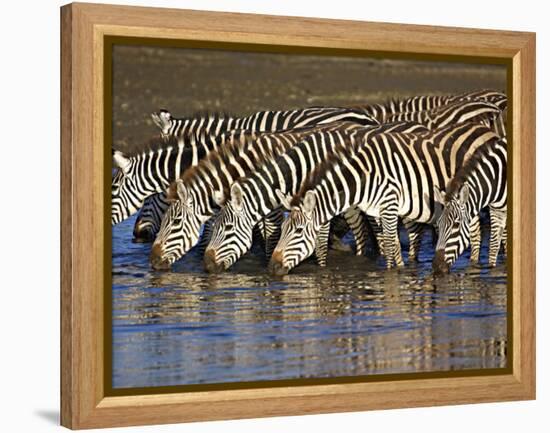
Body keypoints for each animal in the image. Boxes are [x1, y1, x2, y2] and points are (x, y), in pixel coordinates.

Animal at [204, 120, 432, 272]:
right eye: (214, 228)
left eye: (228, 229)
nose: (206, 265)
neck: (299, 170)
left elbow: (319, 243)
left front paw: (320, 273)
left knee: (414, 232)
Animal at [268, 120, 504, 274]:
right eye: (283, 228)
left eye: (298, 231)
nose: (272, 267)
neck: (362, 179)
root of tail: (485, 129)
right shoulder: (377, 210)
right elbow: (391, 243)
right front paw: (396, 269)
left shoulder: (389, 204)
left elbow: (391, 243)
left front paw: (393, 275)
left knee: (482, 232)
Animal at [434, 139, 512, 274]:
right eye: (438, 224)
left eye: (456, 225)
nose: (436, 268)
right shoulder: (497, 211)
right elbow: (493, 246)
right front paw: (492, 270)